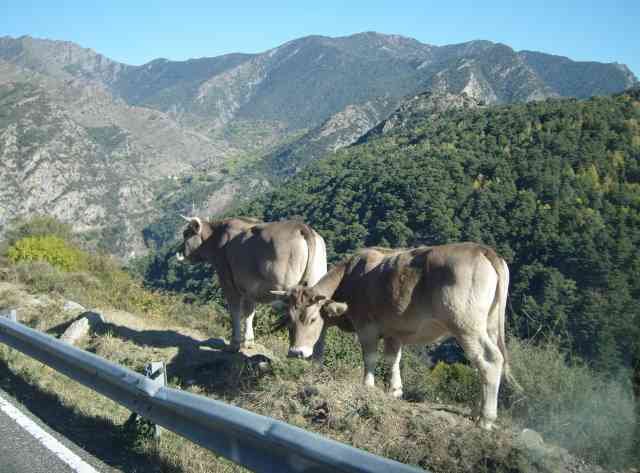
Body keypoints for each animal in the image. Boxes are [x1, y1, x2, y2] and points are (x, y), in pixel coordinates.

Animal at [176, 216, 328, 352]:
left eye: (186, 234)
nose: (178, 251)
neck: (215, 238)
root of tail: (301, 227)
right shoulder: (249, 289)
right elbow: (249, 313)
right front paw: (249, 342)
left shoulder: (227, 282)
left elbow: (235, 312)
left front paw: (234, 344)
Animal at [270, 242, 520, 430]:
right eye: (290, 318)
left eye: (312, 319)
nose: (296, 352)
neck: (352, 277)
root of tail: (482, 249)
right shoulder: (395, 331)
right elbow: (393, 359)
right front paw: (395, 390)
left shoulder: (367, 326)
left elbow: (370, 357)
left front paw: (368, 385)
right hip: (488, 326)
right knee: (483, 365)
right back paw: (477, 411)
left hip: (467, 325)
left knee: (489, 360)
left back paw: (486, 419)